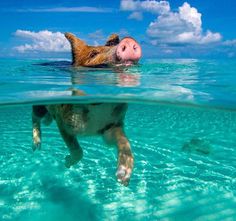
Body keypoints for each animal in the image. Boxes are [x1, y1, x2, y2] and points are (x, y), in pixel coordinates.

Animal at [31, 32, 142, 185]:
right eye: (93, 54)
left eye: (111, 45)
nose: (129, 40)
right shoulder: (63, 121)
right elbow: (77, 150)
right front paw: (66, 163)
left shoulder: (111, 125)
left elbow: (124, 142)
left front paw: (123, 178)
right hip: (40, 106)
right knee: (34, 117)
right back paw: (36, 146)